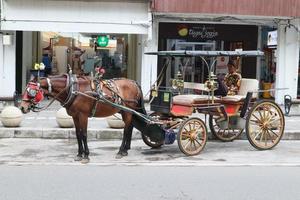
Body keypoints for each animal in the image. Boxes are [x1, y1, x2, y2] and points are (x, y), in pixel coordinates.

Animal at [18, 73, 146, 162]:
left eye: (31, 91)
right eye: (25, 90)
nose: (22, 107)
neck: (73, 90)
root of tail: (134, 82)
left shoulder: (83, 116)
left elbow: (84, 134)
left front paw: (86, 155)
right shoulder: (75, 116)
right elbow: (78, 134)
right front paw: (79, 154)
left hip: (127, 111)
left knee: (126, 130)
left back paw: (120, 151)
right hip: (125, 111)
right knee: (130, 127)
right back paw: (125, 149)